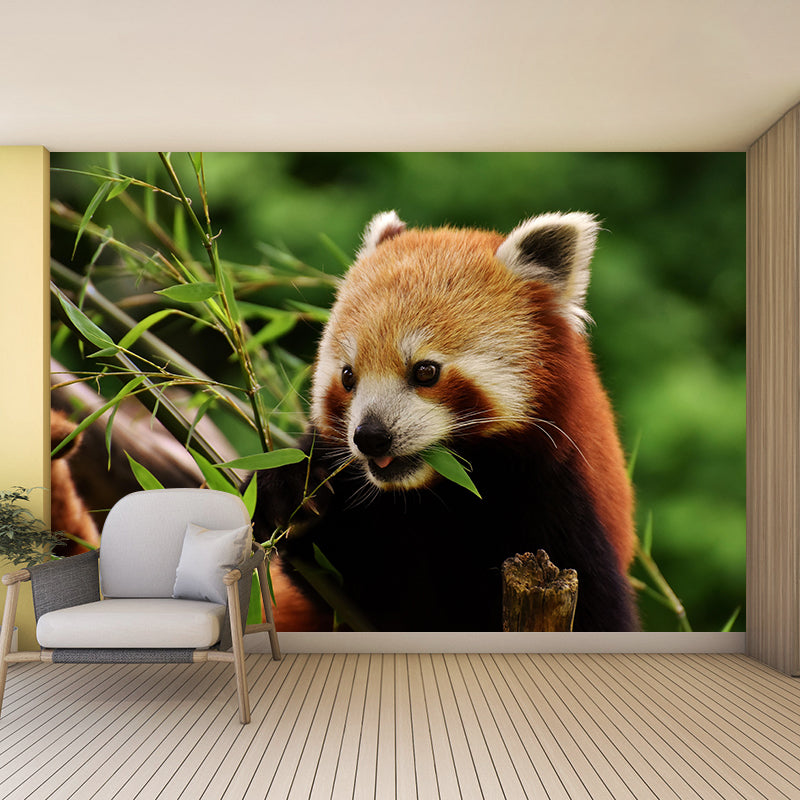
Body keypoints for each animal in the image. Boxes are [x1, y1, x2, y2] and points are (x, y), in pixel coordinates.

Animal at [255, 211, 638, 632]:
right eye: (348, 376)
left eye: (425, 371)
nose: (370, 437)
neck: (440, 496)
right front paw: (288, 488)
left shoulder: (562, 503)